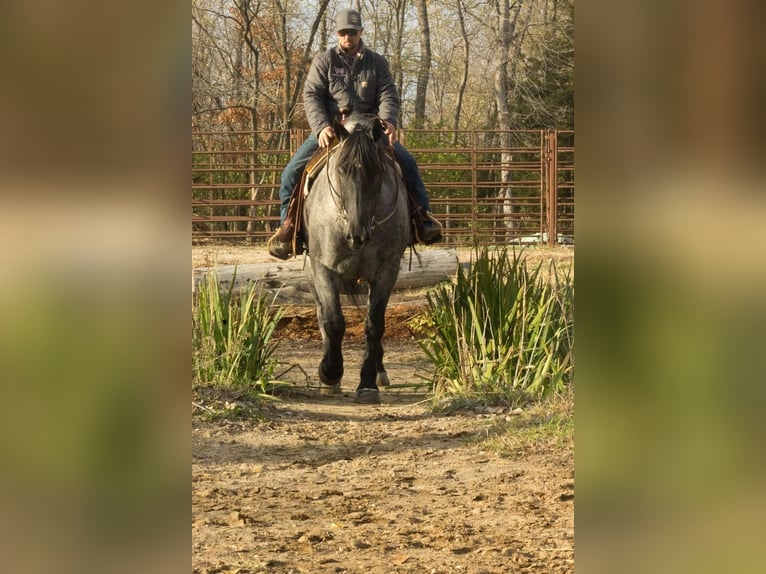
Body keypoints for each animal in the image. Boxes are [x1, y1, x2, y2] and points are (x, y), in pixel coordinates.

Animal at [302, 112, 410, 404]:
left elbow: (374, 324)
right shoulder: (324, 268)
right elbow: (333, 321)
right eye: (341, 170)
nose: (357, 235)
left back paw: (380, 371)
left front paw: (368, 383)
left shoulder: (387, 272)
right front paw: (329, 372)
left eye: (377, 172)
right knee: (322, 314)